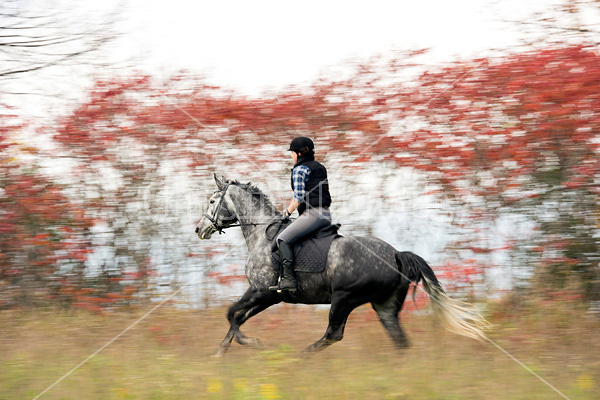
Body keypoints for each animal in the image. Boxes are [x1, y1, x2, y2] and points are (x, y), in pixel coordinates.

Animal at [196, 175, 488, 356]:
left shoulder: (263, 292)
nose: (199, 229)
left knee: (333, 334)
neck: (261, 235)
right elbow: (238, 317)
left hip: (344, 298)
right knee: (399, 339)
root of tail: (396, 254)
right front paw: (219, 354)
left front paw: (251, 342)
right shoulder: (269, 297)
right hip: (384, 306)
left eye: (212, 201)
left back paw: (300, 358)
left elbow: (231, 314)